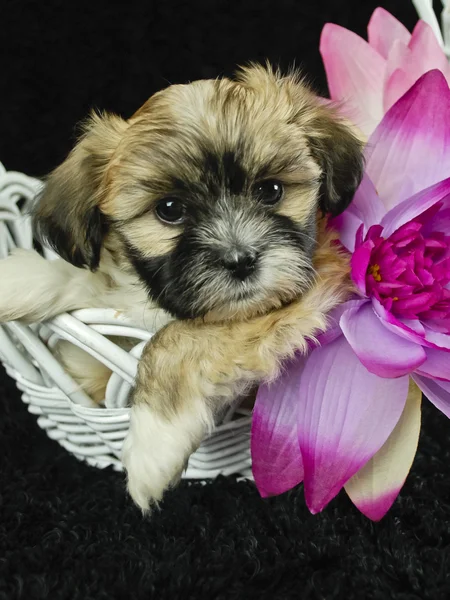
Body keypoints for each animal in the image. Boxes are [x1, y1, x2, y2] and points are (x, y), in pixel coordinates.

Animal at [0, 65, 362, 508]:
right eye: (170, 210)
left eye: (271, 190)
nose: (241, 260)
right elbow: (91, 280)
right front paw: (19, 280)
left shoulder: (306, 295)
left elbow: (175, 340)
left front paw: (153, 444)